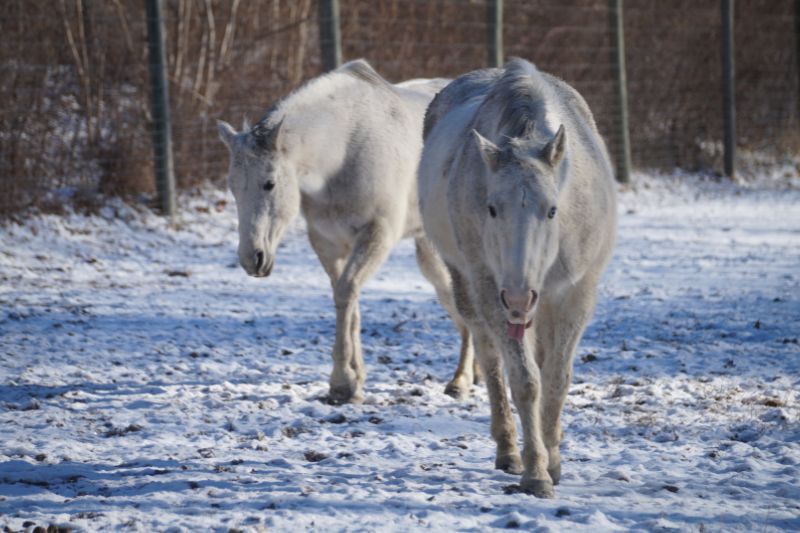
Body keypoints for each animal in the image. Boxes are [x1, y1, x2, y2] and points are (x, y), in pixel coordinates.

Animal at [217, 60, 478, 404]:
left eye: (269, 183)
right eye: (233, 187)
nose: (252, 259)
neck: (342, 151)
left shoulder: (377, 235)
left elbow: (346, 291)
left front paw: (342, 383)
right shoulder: (328, 243)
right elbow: (347, 300)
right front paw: (354, 379)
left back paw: (461, 380)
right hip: (429, 253)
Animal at [418, 58, 617, 497]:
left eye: (552, 210)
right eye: (492, 208)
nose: (519, 298)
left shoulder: (576, 295)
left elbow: (556, 378)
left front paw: (553, 460)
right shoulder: (491, 290)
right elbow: (525, 380)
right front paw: (536, 472)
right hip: (468, 285)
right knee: (490, 358)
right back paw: (509, 450)